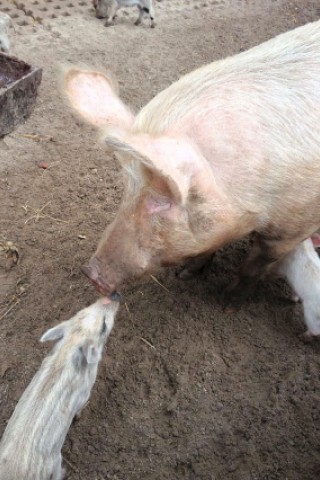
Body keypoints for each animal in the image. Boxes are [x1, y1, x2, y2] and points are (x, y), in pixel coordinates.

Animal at [63, 20, 320, 304]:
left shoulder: (293, 226)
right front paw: (185, 275)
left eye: (162, 199)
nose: (90, 272)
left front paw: (227, 302)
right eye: (127, 188)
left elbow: (252, 268)